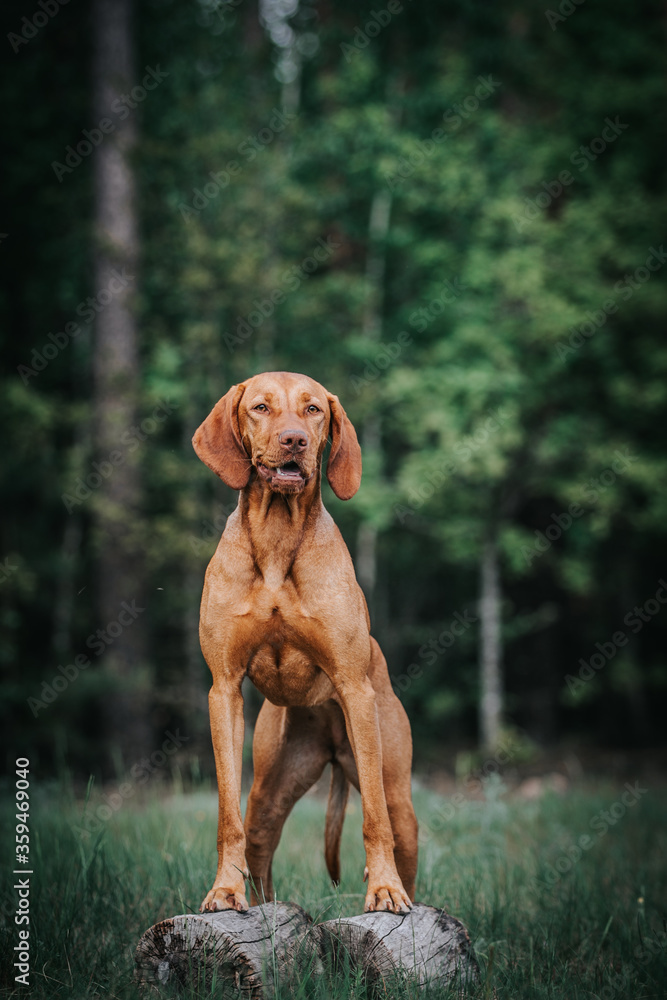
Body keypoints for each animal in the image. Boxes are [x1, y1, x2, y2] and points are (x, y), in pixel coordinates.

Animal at [192, 374, 418, 916]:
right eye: (260, 407)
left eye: (313, 409)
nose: (294, 439)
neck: (277, 537)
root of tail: (332, 745)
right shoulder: (223, 688)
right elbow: (226, 815)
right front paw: (223, 891)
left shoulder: (355, 689)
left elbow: (373, 819)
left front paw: (383, 889)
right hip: (270, 790)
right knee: (258, 842)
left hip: (397, 789)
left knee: (396, 824)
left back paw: (404, 892)